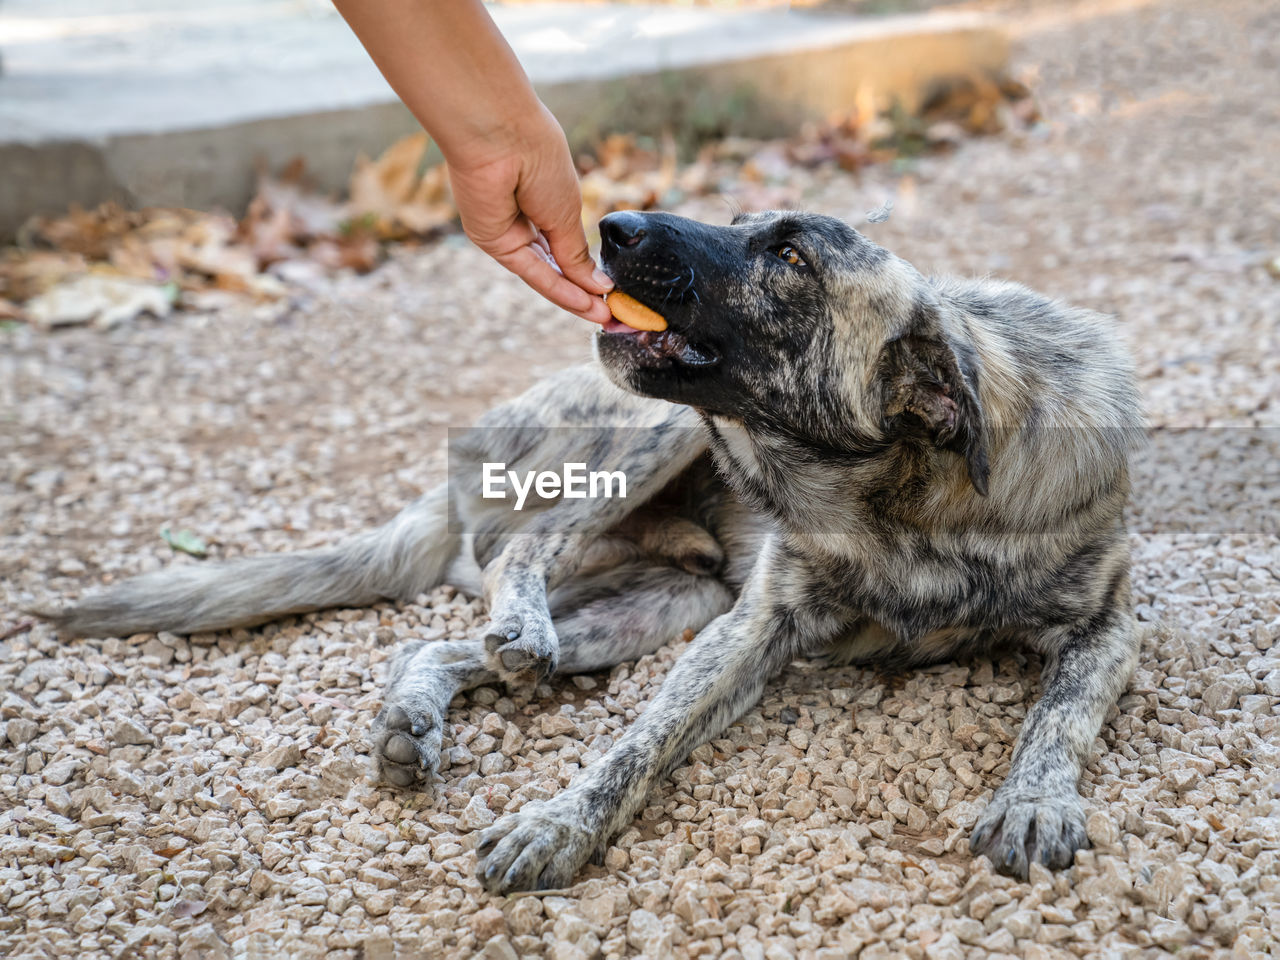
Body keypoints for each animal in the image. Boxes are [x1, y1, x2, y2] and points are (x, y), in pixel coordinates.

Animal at [45, 209, 1141, 896]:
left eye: (791, 259)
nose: (609, 226)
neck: (902, 496)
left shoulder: (1113, 624)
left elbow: (1057, 713)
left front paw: (1032, 800)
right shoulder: (751, 629)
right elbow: (635, 743)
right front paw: (561, 822)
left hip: (661, 601)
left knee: (450, 642)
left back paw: (415, 718)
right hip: (651, 443)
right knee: (512, 558)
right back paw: (502, 636)